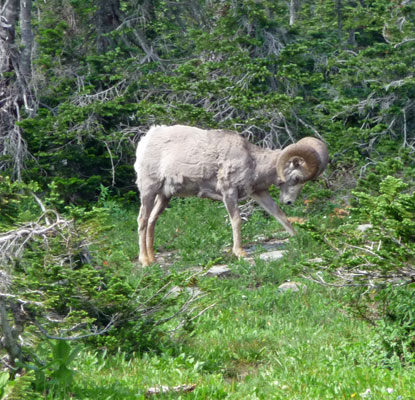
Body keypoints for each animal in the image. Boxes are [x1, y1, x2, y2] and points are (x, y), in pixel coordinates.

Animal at [136, 125, 328, 266]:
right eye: (296, 178)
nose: (289, 201)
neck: (253, 162)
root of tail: (146, 140)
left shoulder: (259, 193)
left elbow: (279, 214)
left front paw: (298, 237)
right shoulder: (229, 193)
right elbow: (236, 219)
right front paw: (240, 252)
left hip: (164, 196)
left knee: (152, 221)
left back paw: (153, 258)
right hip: (148, 190)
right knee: (143, 220)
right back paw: (144, 261)